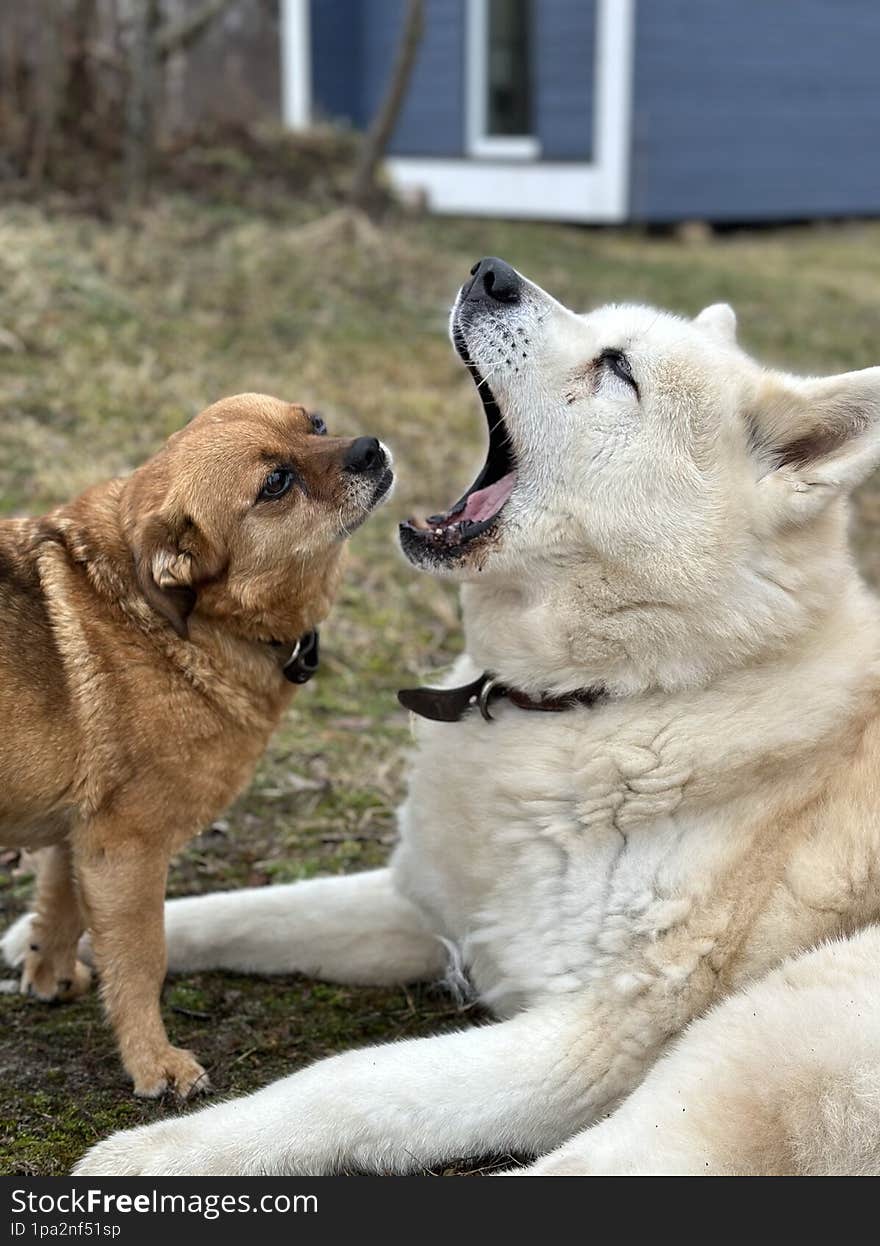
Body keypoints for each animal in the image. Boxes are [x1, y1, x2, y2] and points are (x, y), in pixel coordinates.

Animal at [0, 393, 391, 1096]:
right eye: (275, 484)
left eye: (315, 424)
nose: (370, 448)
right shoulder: (125, 848)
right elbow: (140, 961)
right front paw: (154, 1064)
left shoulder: (80, 832)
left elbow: (59, 909)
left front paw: (49, 978)